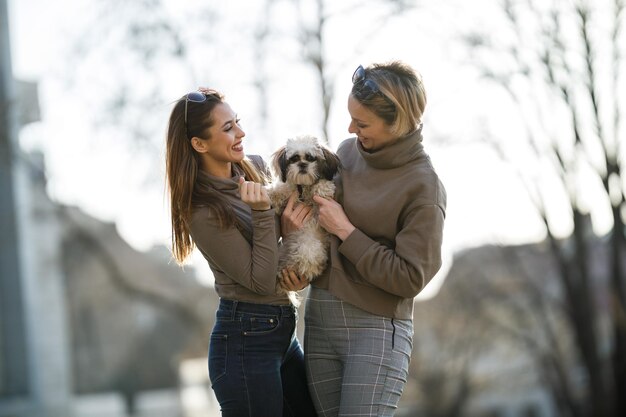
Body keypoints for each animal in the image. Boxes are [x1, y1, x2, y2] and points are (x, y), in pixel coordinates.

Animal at [266, 135, 338, 294]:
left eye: (310, 158)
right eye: (294, 158)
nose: (302, 164)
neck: (303, 189)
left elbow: (322, 186)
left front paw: (322, 187)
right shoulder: (287, 194)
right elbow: (280, 190)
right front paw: (266, 193)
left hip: (310, 245)